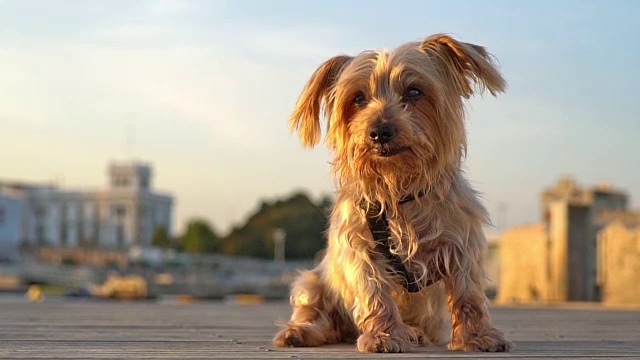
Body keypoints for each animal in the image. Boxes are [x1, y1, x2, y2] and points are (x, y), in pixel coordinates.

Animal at [276, 32, 516, 352]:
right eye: (358, 98)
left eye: (414, 92)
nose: (380, 131)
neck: (398, 188)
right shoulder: (360, 246)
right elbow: (374, 292)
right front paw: (384, 335)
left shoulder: (462, 241)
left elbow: (468, 294)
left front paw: (479, 336)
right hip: (312, 282)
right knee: (319, 317)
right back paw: (298, 332)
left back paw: (415, 332)